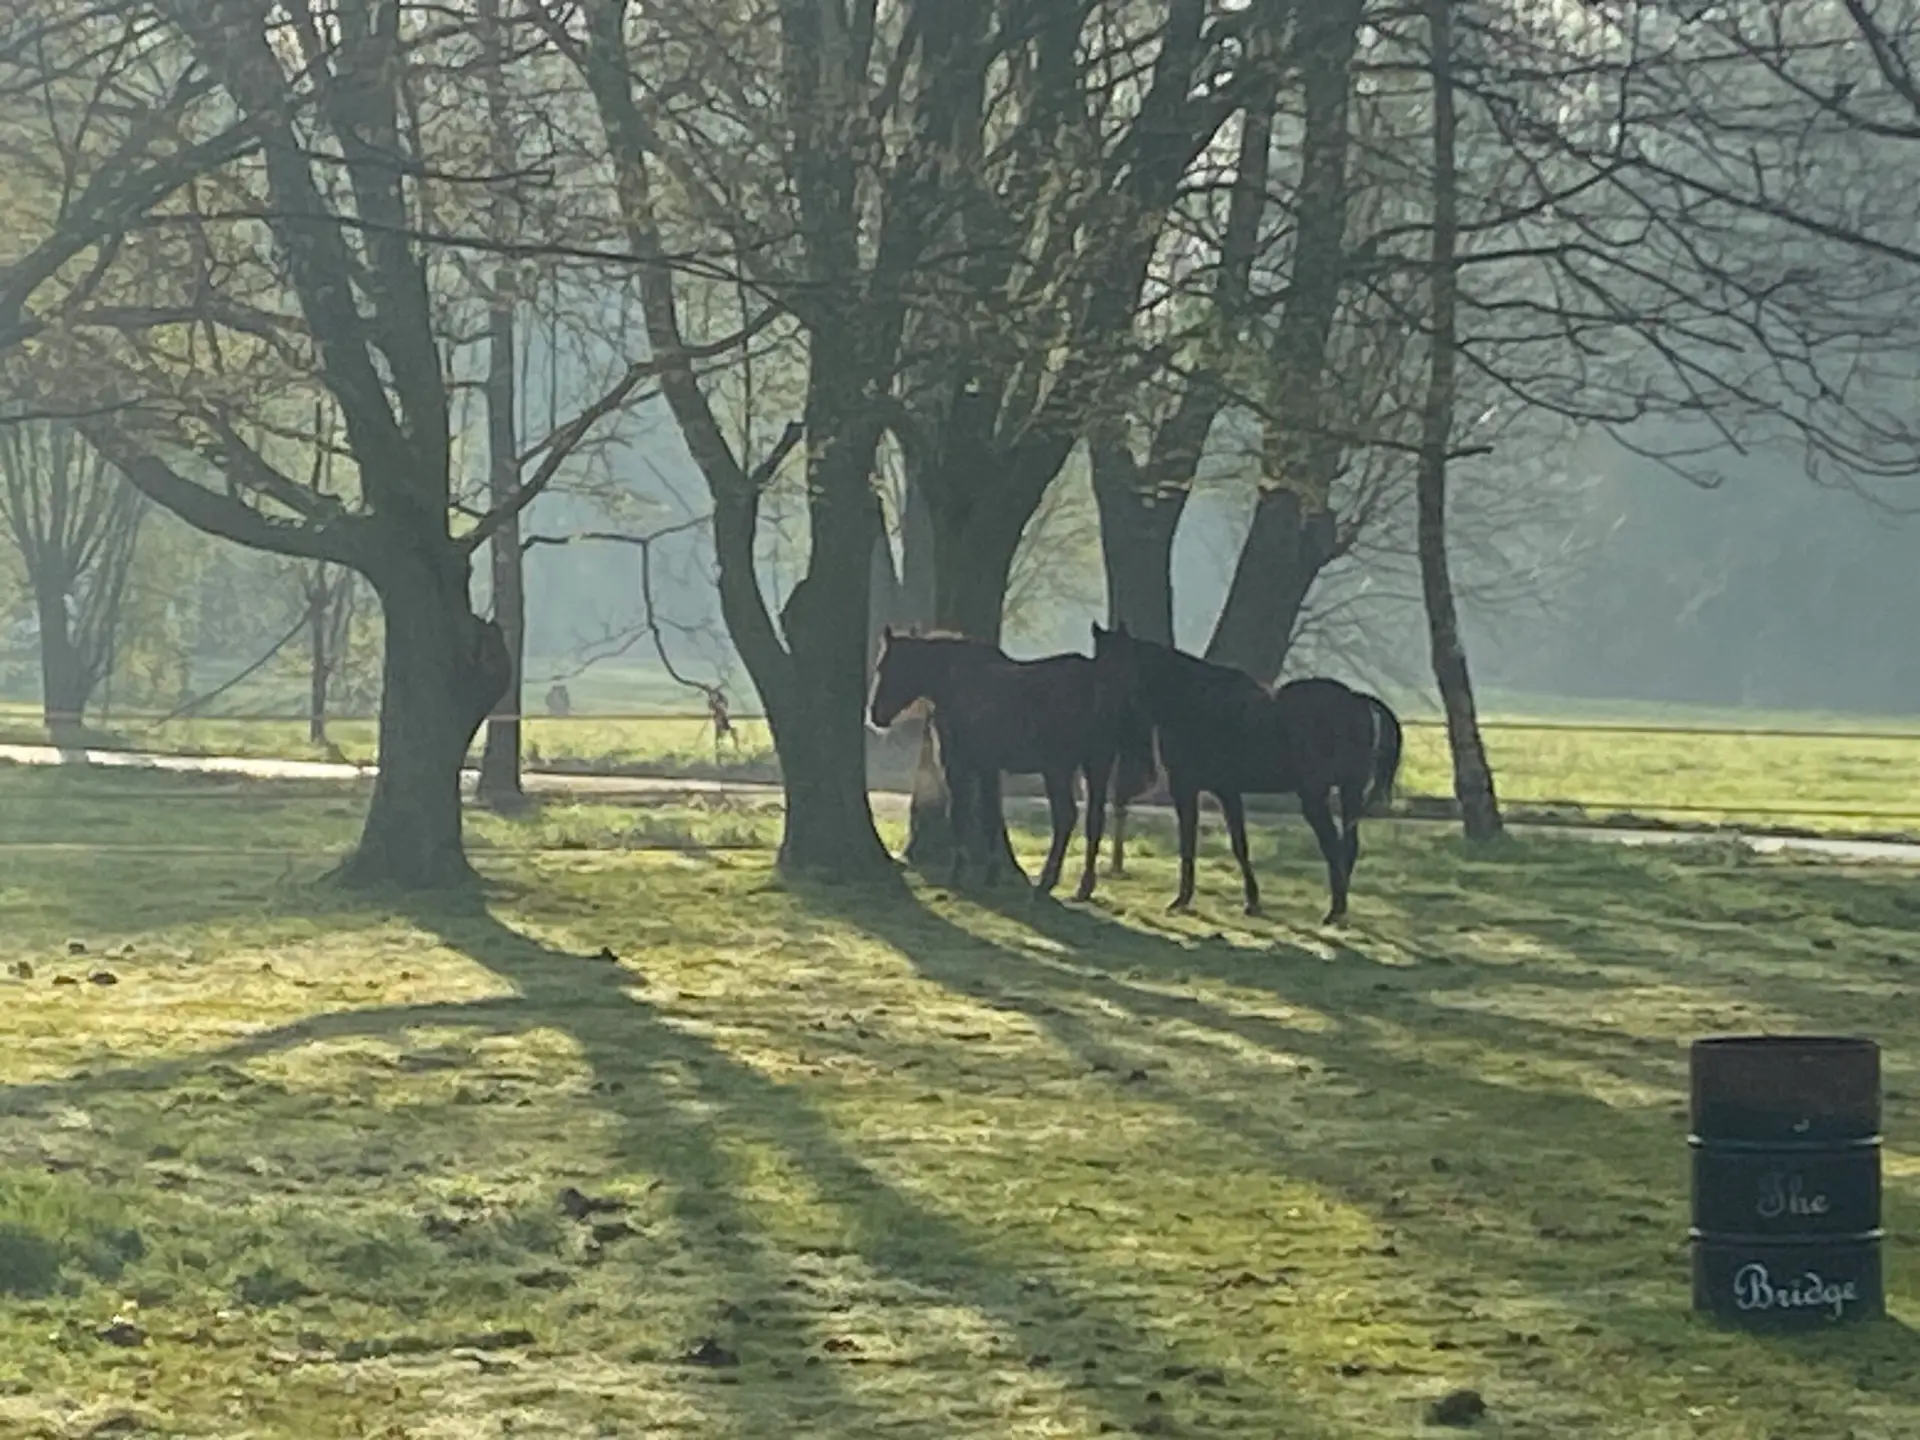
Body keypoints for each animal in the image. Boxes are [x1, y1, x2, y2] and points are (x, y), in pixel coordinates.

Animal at [871, 629, 1152, 902]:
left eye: (885, 668)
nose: (875, 715)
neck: (956, 682)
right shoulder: (989, 768)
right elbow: (990, 816)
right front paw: (991, 874)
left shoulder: (960, 765)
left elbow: (961, 815)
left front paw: (958, 874)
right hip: (1095, 766)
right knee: (1093, 819)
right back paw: (1083, 887)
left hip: (1058, 770)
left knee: (1066, 817)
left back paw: (1047, 883)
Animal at [1090, 629, 1405, 925]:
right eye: (1098, 660)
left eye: (1116, 664)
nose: (1099, 705)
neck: (1195, 704)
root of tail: (1357, 700)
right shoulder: (1225, 791)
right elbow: (1238, 844)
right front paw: (1251, 902)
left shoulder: (1191, 789)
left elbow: (1194, 843)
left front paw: (1183, 900)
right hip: (1349, 792)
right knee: (1348, 846)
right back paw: (1341, 909)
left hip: (1316, 795)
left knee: (1333, 846)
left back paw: (1335, 910)